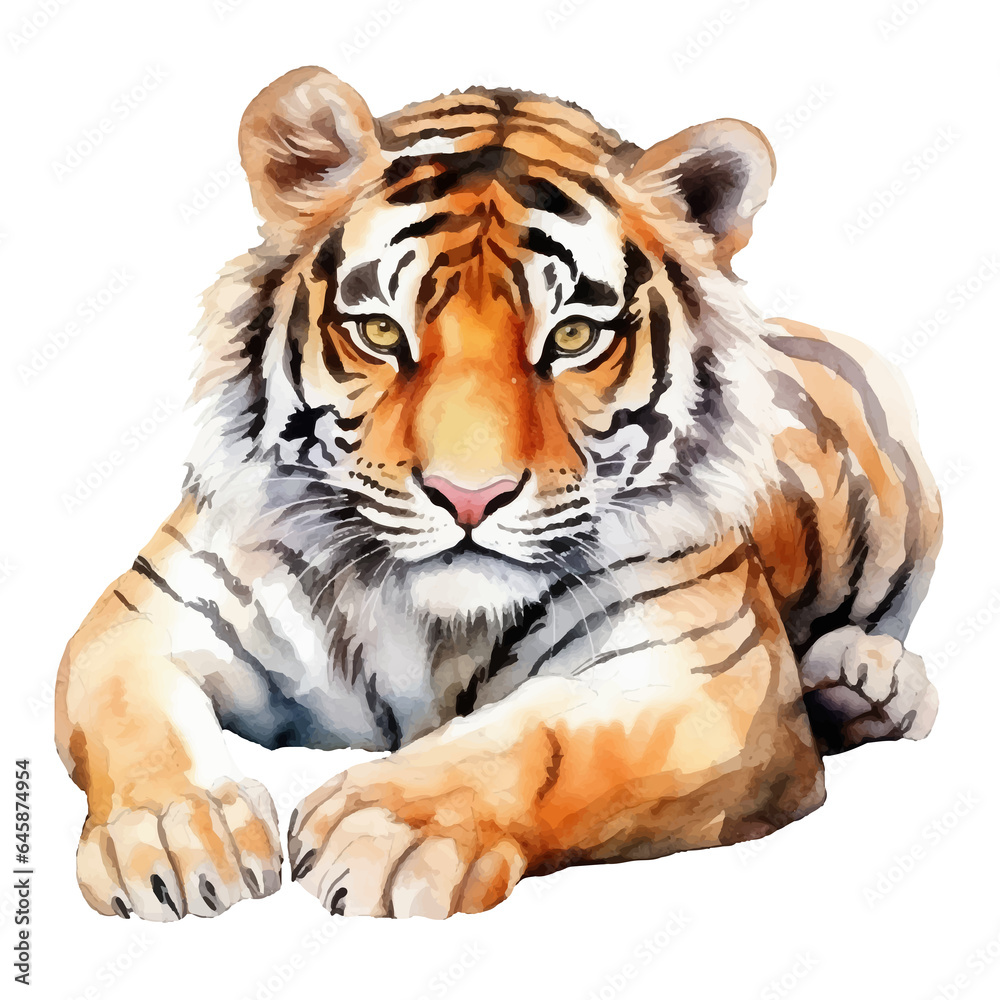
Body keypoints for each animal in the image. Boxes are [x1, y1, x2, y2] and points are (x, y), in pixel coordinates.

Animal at [55, 66, 943, 921]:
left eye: (574, 337)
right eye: (381, 332)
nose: (468, 497)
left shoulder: (708, 672)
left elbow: (550, 742)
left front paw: (387, 827)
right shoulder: (147, 613)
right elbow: (136, 718)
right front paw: (173, 835)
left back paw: (868, 680)